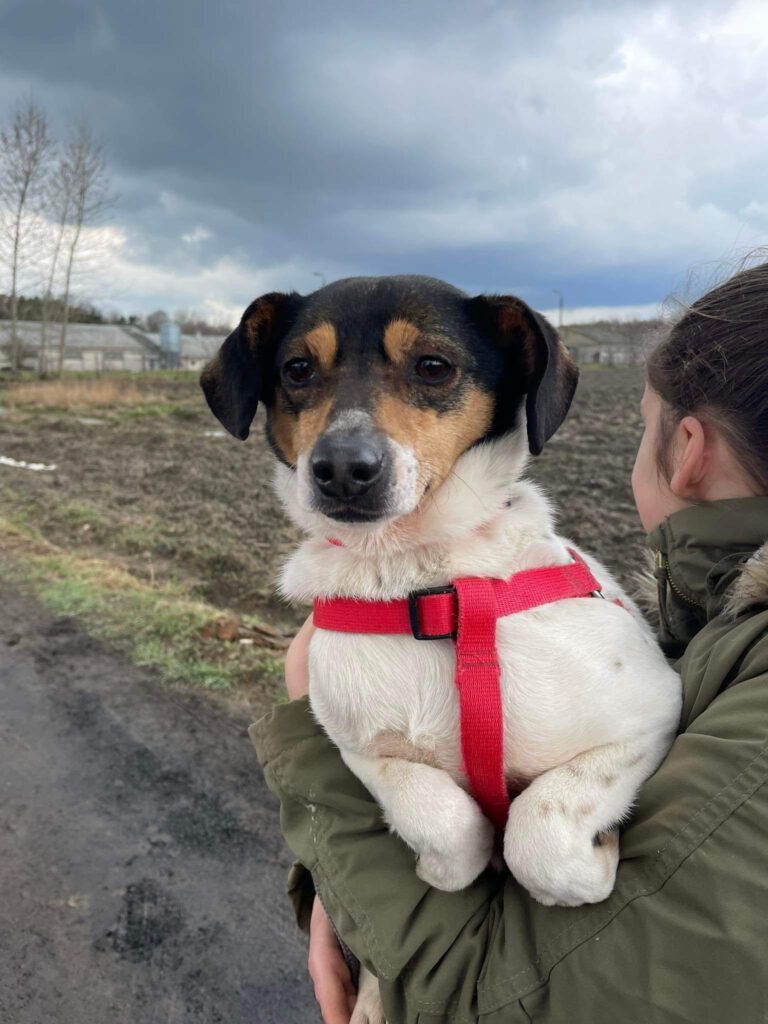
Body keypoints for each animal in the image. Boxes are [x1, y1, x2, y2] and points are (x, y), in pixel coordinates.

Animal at [201, 274, 684, 1024]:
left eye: (433, 366)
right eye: (297, 370)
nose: (343, 468)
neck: (424, 587)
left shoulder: (651, 710)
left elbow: (540, 830)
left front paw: (594, 868)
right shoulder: (356, 747)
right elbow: (441, 816)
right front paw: (442, 865)